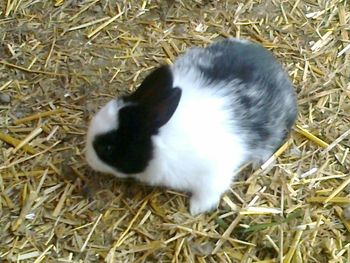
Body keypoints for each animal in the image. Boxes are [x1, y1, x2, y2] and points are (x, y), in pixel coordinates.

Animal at [84, 38, 296, 217]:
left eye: (108, 148)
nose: (88, 160)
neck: (162, 137)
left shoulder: (213, 174)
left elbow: (208, 193)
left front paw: (196, 209)